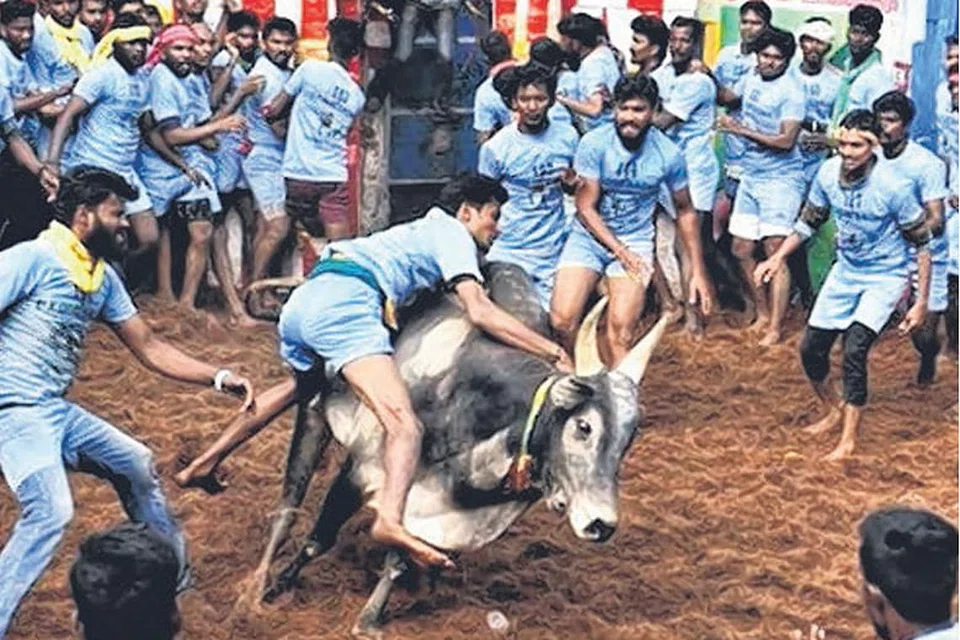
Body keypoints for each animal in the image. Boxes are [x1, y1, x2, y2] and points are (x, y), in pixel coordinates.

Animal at [242, 263, 671, 637]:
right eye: (584, 426)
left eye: (628, 438)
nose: (602, 524)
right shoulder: (361, 471)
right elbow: (319, 539)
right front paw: (276, 589)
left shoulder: (435, 511)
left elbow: (398, 559)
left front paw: (370, 618)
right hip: (312, 406)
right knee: (291, 499)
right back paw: (259, 580)